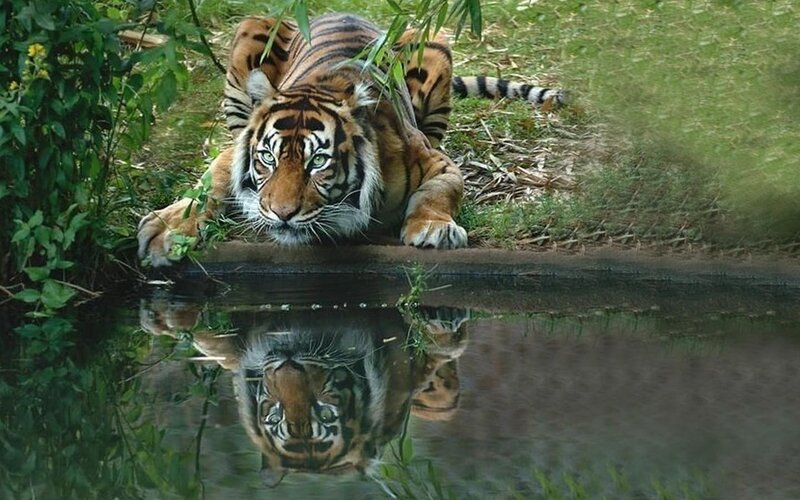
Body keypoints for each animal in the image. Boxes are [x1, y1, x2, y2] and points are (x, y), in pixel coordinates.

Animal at [137, 13, 566, 266]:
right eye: (267, 158)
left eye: (318, 162)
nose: (281, 214)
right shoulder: (235, 148)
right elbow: (209, 184)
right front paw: (166, 230)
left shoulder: (438, 163)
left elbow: (439, 192)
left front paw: (433, 229)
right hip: (252, 27)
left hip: (432, 40)